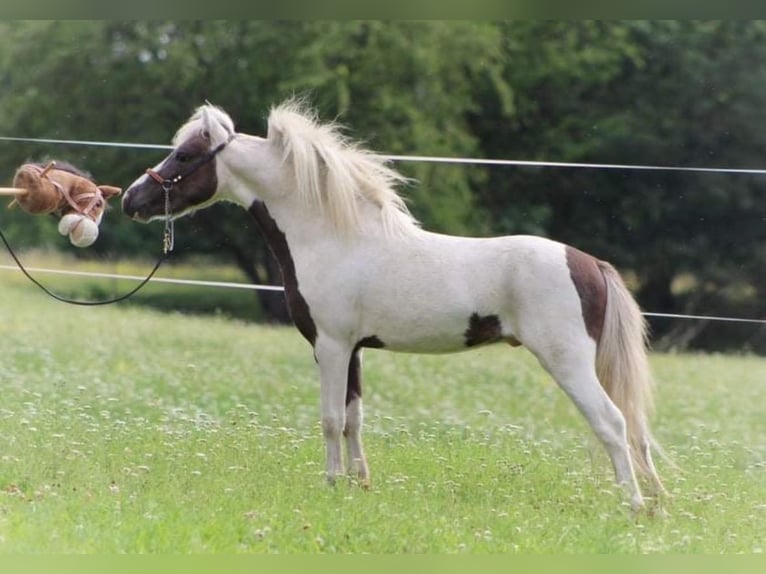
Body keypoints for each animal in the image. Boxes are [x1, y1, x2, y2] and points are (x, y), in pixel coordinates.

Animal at [120, 99, 664, 512]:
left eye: (185, 156)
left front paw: (330, 486)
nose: (131, 199)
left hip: (568, 362)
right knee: (634, 428)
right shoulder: (355, 350)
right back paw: (657, 504)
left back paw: (633, 506)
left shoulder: (331, 347)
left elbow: (330, 419)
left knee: (613, 423)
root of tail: (590, 263)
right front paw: (359, 485)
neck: (334, 238)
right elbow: (354, 419)